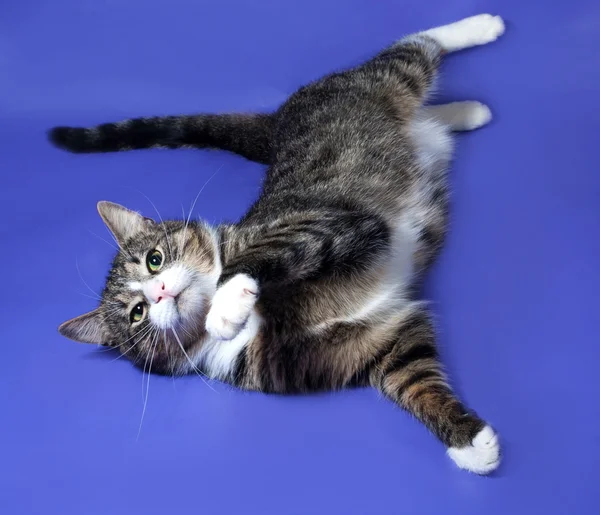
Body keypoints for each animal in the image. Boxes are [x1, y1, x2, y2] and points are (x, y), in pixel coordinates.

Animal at [50, 14, 506, 474]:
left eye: (154, 259)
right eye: (137, 313)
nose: (159, 291)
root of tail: (277, 124)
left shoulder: (332, 224)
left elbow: (265, 252)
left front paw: (225, 306)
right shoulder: (377, 339)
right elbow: (412, 378)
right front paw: (470, 443)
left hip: (387, 80)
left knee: (413, 48)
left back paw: (481, 27)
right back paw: (468, 111)